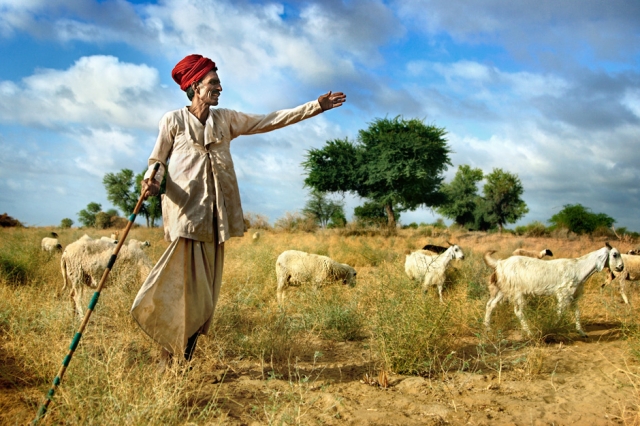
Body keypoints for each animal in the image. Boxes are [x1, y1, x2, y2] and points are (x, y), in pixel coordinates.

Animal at [482, 243, 624, 336]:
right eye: (614, 254)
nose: (621, 267)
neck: (578, 268)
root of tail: (500, 263)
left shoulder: (574, 295)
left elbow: (577, 313)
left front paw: (581, 332)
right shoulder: (563, 293)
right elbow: (560, 312)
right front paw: (554, 326)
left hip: (503, 290)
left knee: (491, 305)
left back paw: (487, 327)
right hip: (517, 292)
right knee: (518, 311)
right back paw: (529, 332)